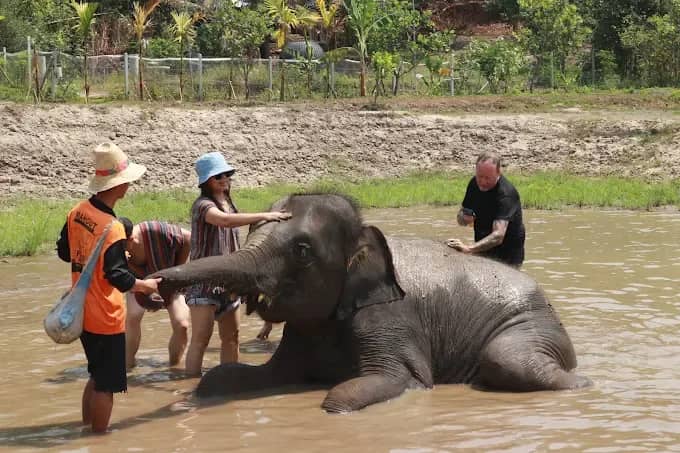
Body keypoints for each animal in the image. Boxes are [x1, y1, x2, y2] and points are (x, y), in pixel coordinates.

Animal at [155, 193, 591, 413]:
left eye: (302, 251)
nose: (158, 282)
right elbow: (231, 378)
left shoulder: (388, 315)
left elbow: (382, 384)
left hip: (533, 325)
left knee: (508, 360)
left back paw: (583, 385)